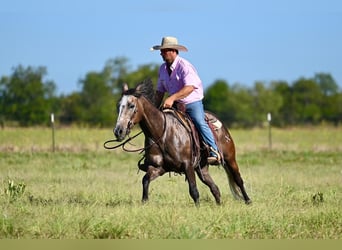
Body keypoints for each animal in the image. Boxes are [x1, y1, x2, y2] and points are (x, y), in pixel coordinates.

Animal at [112, 79, 251, 206]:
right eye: (118, 105)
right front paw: (144, 202)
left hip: (230, 158)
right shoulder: (158, 168)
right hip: (202, 168)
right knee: (214, 188)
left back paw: (248, 201)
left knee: (238, 179)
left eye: (131, 105)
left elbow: (194, 191)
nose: (118, 131)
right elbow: (145, 180)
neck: (163, 133)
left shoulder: (187, 165)